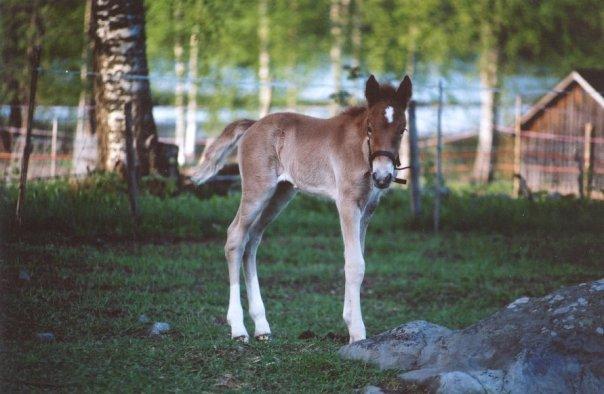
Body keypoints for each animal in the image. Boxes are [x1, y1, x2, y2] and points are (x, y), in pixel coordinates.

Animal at [192, 75, 410, 344]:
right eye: (370, 127)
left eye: (402, 129)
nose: (383, 177)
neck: (360, 150)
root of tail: (253, 125)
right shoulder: (347, 203)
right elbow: (354, 264)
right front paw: (357, 333)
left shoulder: (368, 208)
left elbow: (356, 258)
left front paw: (349, 322)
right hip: (258, 190)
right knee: (235, 237)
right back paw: (238, 329)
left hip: (281, 194)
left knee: (251, 242)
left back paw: (262, 326)